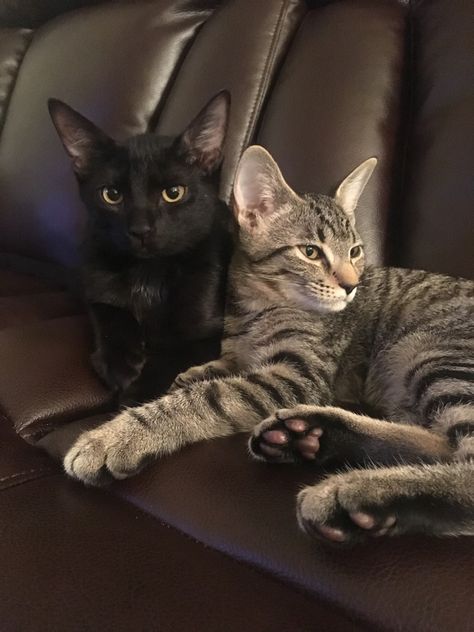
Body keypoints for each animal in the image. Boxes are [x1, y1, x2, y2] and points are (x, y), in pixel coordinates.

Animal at [48, 91, 233, 402]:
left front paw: (135, 395)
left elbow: (173, 357)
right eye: (111, 195)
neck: (149, 272)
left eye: (174, 193)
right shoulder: (93, 276)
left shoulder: (210, 334)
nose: (140, 230)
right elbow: (106, 308)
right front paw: (120, 360)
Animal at [64, 147, 474, 544]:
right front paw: (200, 371)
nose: (351, 284)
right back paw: (314, 434)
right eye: (311, 252)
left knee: (464, 463)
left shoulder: (297, 375)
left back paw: (356, 495)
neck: (257, 308)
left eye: (355, 252)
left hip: (435, 354)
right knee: (443, 444)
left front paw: (120, 435)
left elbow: (211, 397)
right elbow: (228, 364)